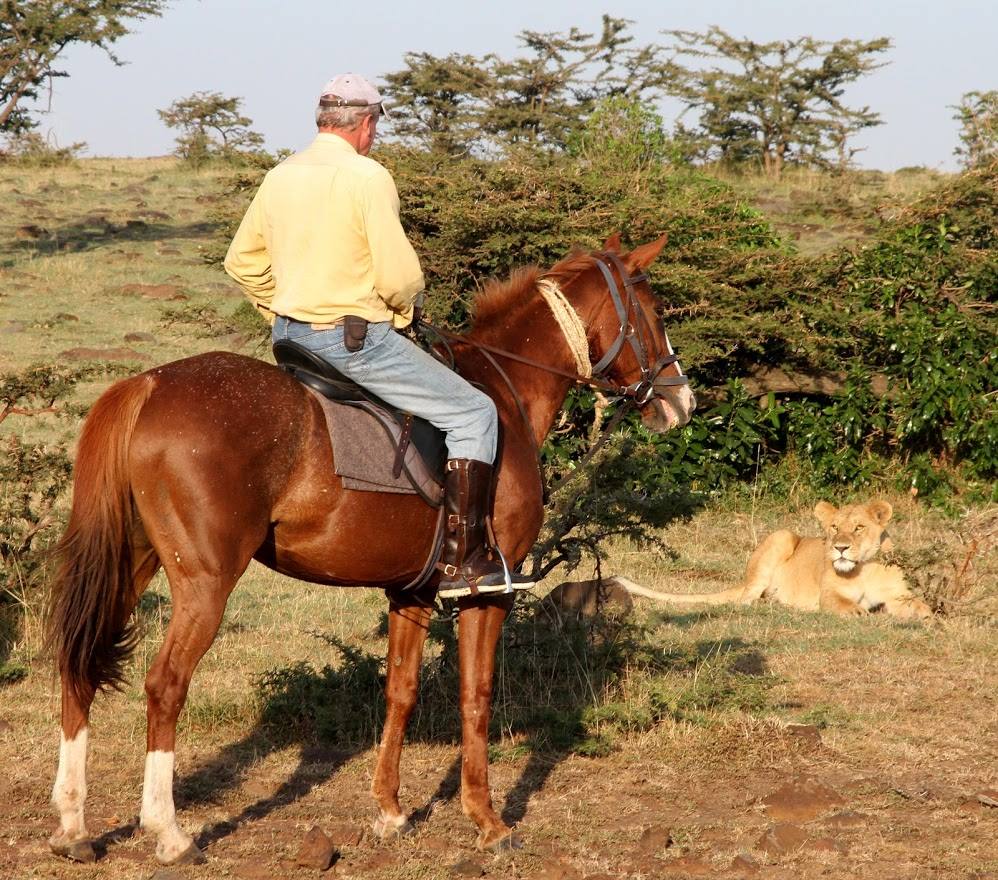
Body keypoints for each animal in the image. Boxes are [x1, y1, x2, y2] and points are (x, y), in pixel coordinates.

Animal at [46, 233, 696, 865]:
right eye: (655, 312)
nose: (680, 400)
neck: (502, 392)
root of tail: (149, 383)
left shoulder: (411, 592)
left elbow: (400, 692)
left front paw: (389, 811)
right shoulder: (488, 593)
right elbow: (476, 695)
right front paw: (487, 821)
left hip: (131, 566)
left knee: (79, 665)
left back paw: (73, 826)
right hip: (204, 584)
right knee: (165, 685)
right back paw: (169, 833)